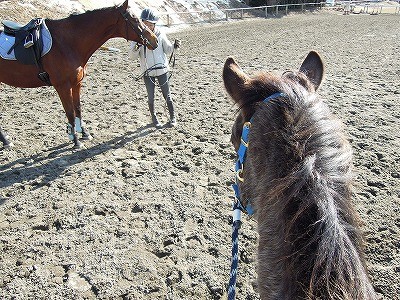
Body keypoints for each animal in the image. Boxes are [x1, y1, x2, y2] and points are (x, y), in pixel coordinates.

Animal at [0, 0, 159, 149]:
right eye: (135, 19)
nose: (154, 40)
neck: (67, 42)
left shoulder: (77, 83)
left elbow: (78, 109)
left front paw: (84, 133)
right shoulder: (63, 86)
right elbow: (70, 112)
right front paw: (76, 141)